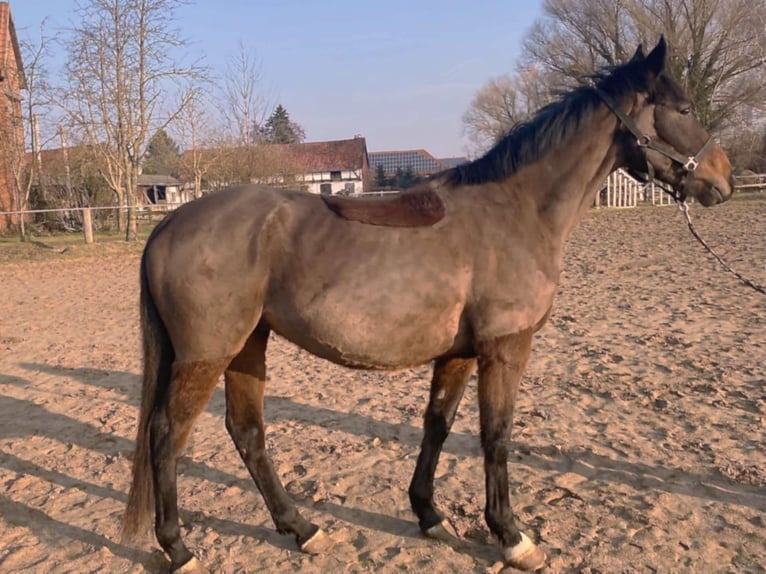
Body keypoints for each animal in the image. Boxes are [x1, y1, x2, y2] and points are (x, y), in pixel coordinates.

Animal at [123, 38, 736, 572]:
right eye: (683, 108)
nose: (723, 179)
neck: (516, 210)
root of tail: (171, 223)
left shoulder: (459, 352)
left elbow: (437, 426)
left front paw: (430, 515)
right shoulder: (506, 347)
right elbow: (497, 435)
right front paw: (512, 536)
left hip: (249, 344)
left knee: (247, 432)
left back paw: (303, 529)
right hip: (207, 354)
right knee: (166, 435)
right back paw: (179, 549)